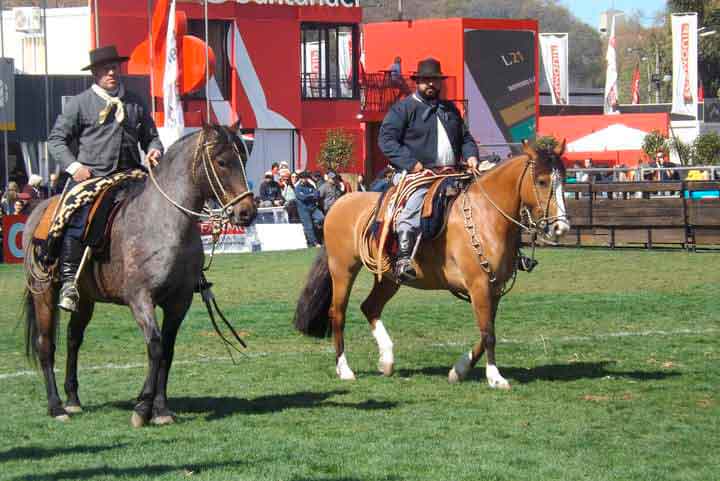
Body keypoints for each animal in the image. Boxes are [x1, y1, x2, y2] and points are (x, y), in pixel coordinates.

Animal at [22, 123, 256, 424]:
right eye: (222, 162)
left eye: (244, 159)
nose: (246, 212)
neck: (163, 222)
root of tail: (38, 210)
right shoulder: (140, 299)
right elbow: (155, 346)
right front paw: (143, 407)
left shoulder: (179, 302)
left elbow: (167, 350)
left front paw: (161, 410)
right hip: (44, 293)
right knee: (45, 345)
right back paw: (57, 407)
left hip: (85, 299)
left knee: (74, 338)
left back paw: (73, 399)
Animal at [296, 140, 572, 390]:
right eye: (542, 181)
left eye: (564, 180)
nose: (561, 227)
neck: (486, 217)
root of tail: (340, 203)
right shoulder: (479, 286)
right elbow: (489, 334)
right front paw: (495, 377)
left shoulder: (494, 289)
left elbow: (486, 332)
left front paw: (459, 370)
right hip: (343, 270)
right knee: (338, 314)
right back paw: (344, 369)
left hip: (389, 278)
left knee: (370, 307)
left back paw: (387, 360)